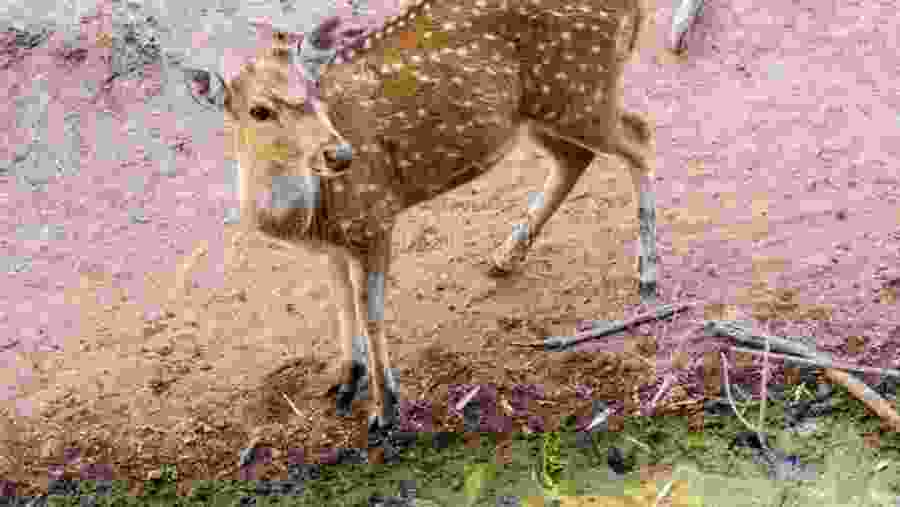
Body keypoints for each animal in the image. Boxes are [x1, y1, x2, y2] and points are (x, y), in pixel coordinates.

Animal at [184, 0, 658, 458]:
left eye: (314, 91)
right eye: (259, 111)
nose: (340, 154)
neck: (311, 215)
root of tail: (635, 7)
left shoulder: (373, 216)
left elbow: (370, 312)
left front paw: (385, 411)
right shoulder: (334, 245)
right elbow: (341, 305)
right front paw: (345, 382)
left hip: (580, 89)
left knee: (639, 135)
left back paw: (647, 274)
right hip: (545, 108)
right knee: (576, 157)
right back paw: (506, 255)